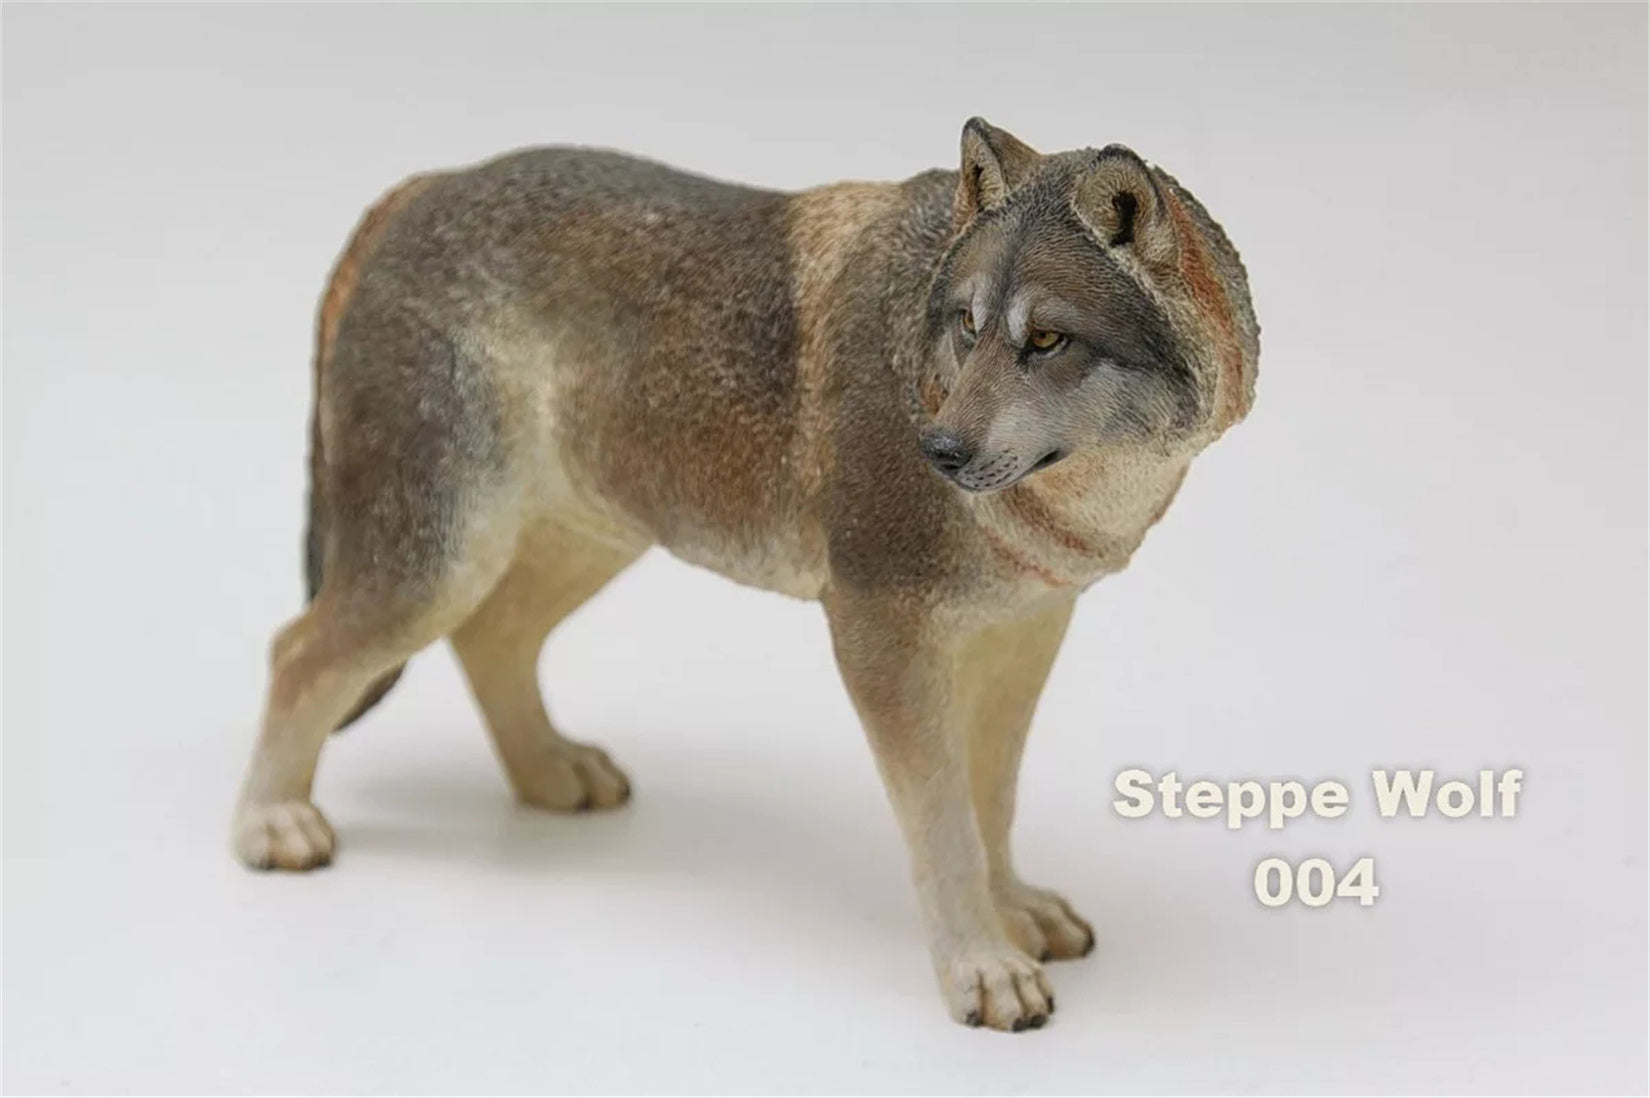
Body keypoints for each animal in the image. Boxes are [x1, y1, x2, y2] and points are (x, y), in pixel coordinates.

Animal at [232, 118, 1259, 1031]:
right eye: (967, 328)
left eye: (1045, 341)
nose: (937, 449)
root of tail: (418, 188)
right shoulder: (882, 637)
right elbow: (945, 832)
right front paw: (982, 969)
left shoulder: (1022, 638)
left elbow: (992, 808)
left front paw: (1015, 914)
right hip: (440, 566)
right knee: (296, 651)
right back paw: (271, 822)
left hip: (578, 545)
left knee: (491, 639)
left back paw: (550, 772)